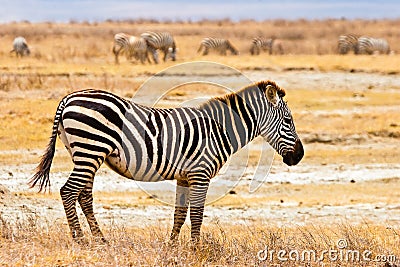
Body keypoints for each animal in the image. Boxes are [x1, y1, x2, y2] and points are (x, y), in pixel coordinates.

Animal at [30, 80, 304, 244]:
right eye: (288, 121)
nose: (299, 156)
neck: (218, 130)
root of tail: (68, 98)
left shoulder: (185, 175)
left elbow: (179, 214)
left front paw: (172, 246)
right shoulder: (200, 173)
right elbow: (197, 214)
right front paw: (195, 249)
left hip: (86, 154)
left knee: (84, 196)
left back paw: (101, 240)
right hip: (90, 149)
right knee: (68, 191)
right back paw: (80, 240)